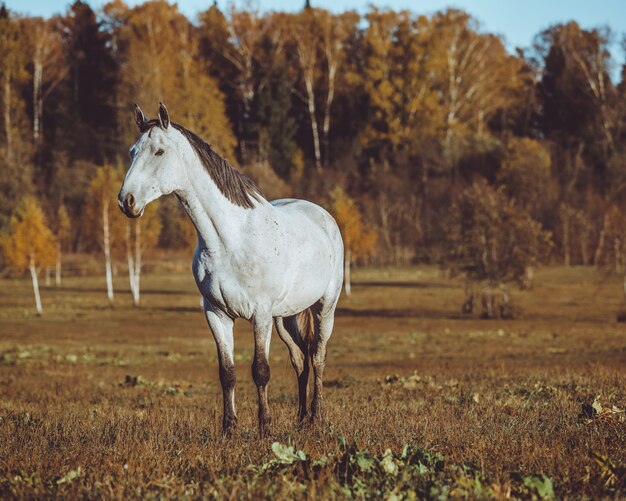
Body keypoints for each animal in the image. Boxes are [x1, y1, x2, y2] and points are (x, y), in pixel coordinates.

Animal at [117, 103, 342, 436]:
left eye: (159, 151)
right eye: (133, 151)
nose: (126, 201)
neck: (229, 240)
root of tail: (322, 215)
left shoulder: (259, 315)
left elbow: (260, 370)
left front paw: (265, 428)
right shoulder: (217, 313)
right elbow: (228, 372)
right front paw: (229, 429)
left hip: (324, 308)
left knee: (319, 357)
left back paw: (317, 417)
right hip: (285, 318)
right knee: (300, 360)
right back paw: (301, 419)